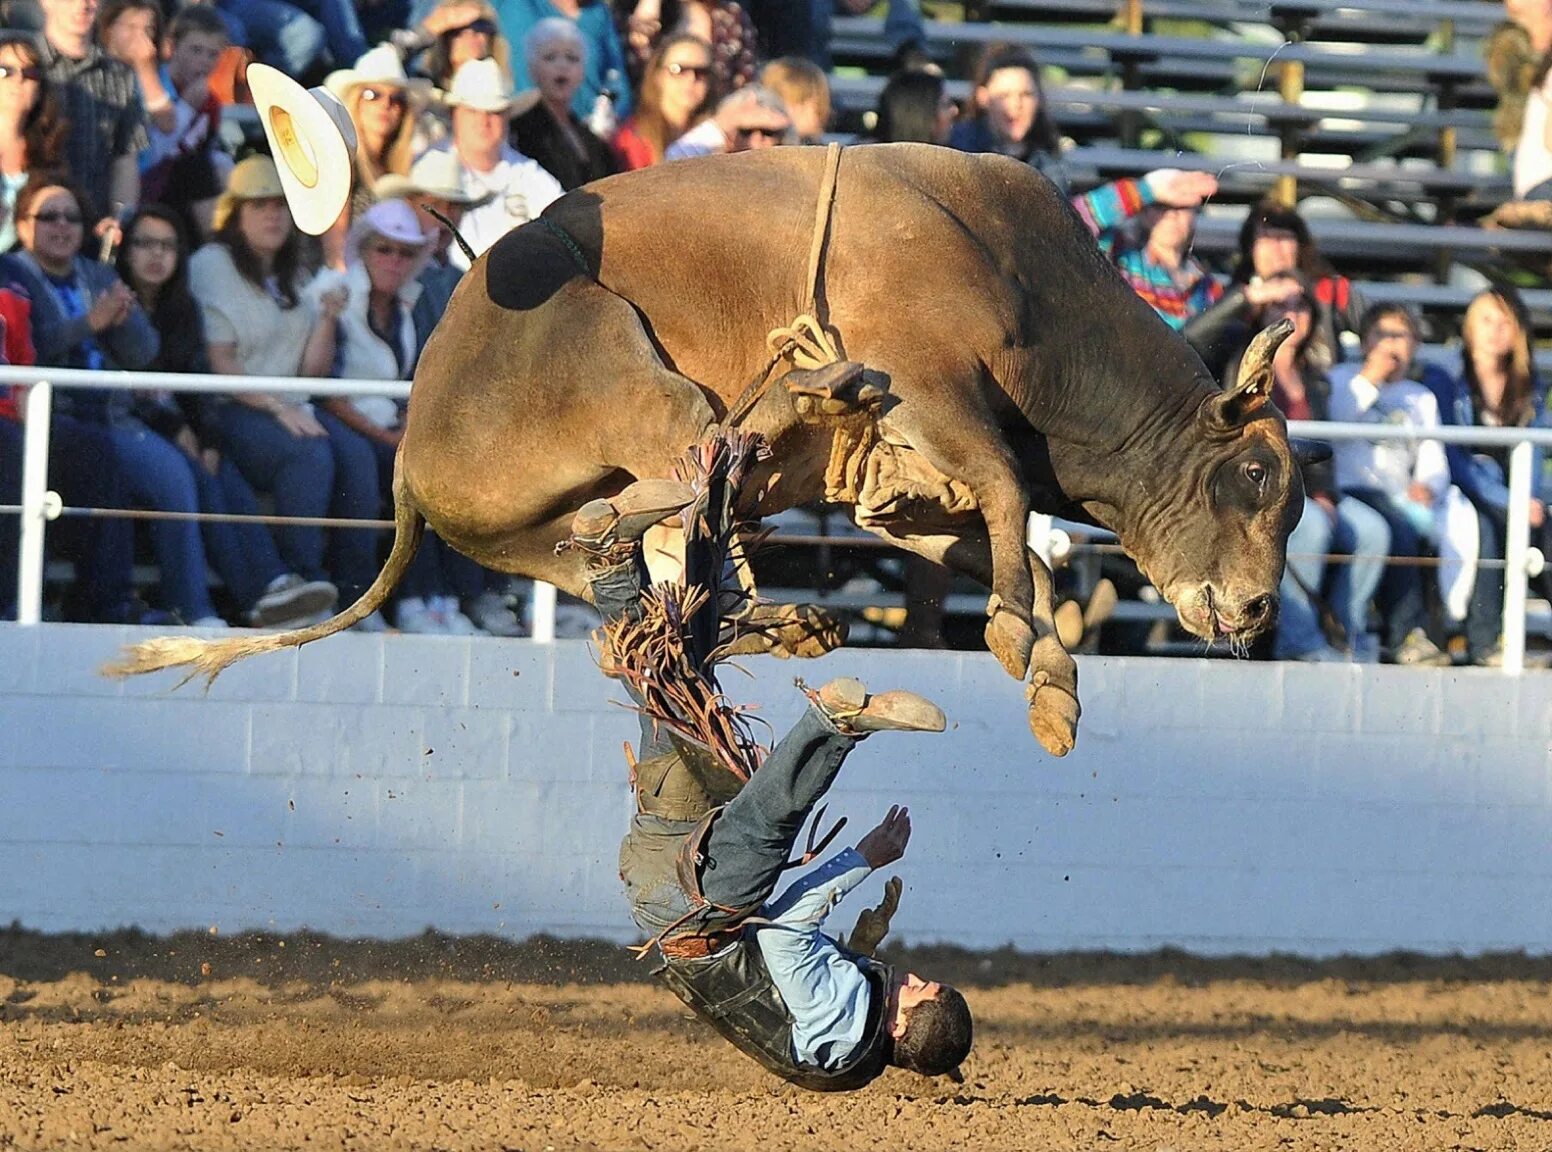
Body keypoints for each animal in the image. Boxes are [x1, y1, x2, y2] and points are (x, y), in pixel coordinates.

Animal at [109, 144, 1316, 757]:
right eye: (1256, 475)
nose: (1259, 609)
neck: (1012, 268)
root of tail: (408, 453)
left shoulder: (904, 491)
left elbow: (991, 534)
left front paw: (1048, 650)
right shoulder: (936, 389)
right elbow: (1012, 497)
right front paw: (1034, 657)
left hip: (536, 538)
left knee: (640, 566)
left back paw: (773, 612)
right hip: (628, 370)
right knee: (684, 475)